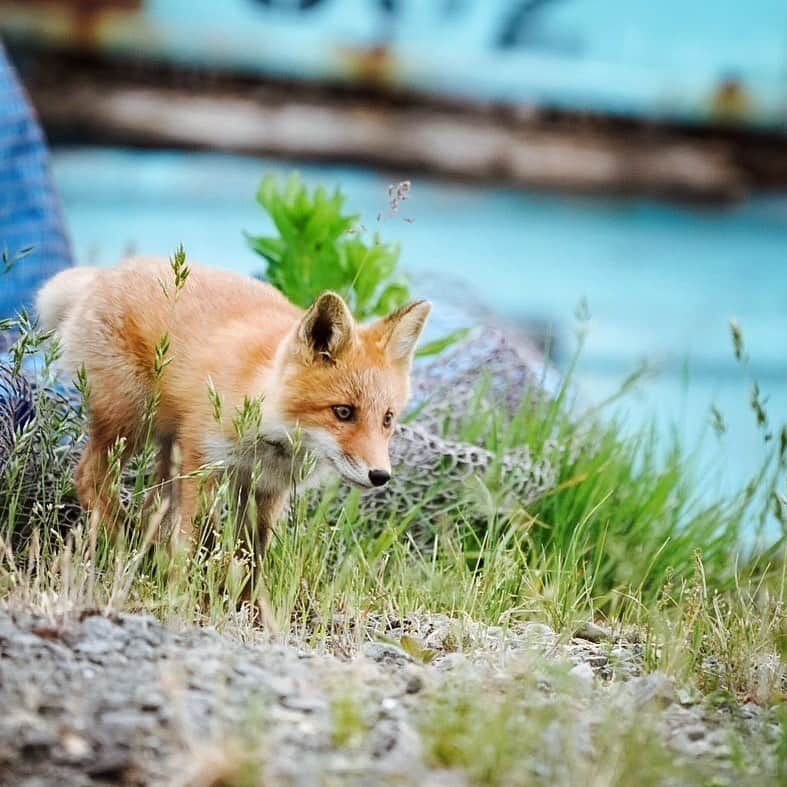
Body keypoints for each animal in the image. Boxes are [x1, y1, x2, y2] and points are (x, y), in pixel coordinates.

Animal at [36, 255, 431, 553]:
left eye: (387, 419)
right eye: (343, 412)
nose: (380, 476)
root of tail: (106, 272)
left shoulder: (265, 491)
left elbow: (250, 560)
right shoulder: (203, 465)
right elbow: (195, 544)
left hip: (168, 449)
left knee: (153, 507)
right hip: (130, 423)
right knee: (89, 478)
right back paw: (126, 541)